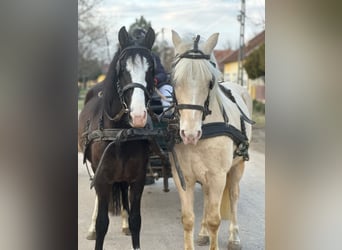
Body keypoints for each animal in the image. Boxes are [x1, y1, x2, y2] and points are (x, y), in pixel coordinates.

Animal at [78, 26, 156, 249]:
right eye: (122, 70)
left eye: (151, 70)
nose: (138, 117)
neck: (121, 133)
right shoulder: (102, 178)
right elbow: (102, 223)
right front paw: (96, 228)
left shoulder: (137, 179)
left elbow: (136, 220)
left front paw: (129, 224)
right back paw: (91, 228)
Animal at [171, 29, 254, 250]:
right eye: (174, 81)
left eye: (209, 82)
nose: (190, 135)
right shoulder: (184, 177)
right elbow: (188, 219)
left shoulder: (218, 176)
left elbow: (215, 220)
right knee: (208, 200)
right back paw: (202, 233)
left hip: (237, 167)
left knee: (233, 196)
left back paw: (234, 237)